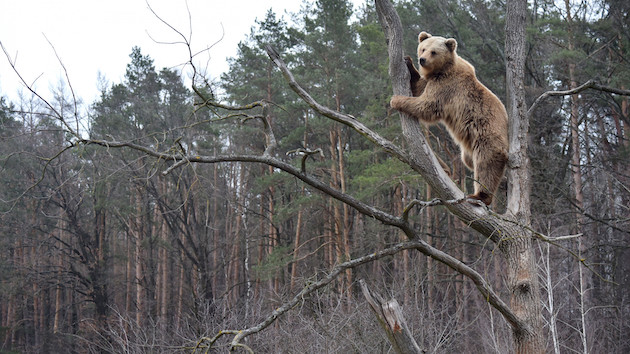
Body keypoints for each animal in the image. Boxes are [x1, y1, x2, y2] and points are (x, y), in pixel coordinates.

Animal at [392, 31, 512, 206]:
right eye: (423, 48)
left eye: (433, 52)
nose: (422, 60)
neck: (442, 69)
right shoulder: (432, 80)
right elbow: (418, 87)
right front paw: (408, 62)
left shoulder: (446, 87)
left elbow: (427, 106)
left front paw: (396, 100)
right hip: (468, 150)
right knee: (470, 162)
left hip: (488, 136)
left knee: (486, 165)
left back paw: (480, 195)